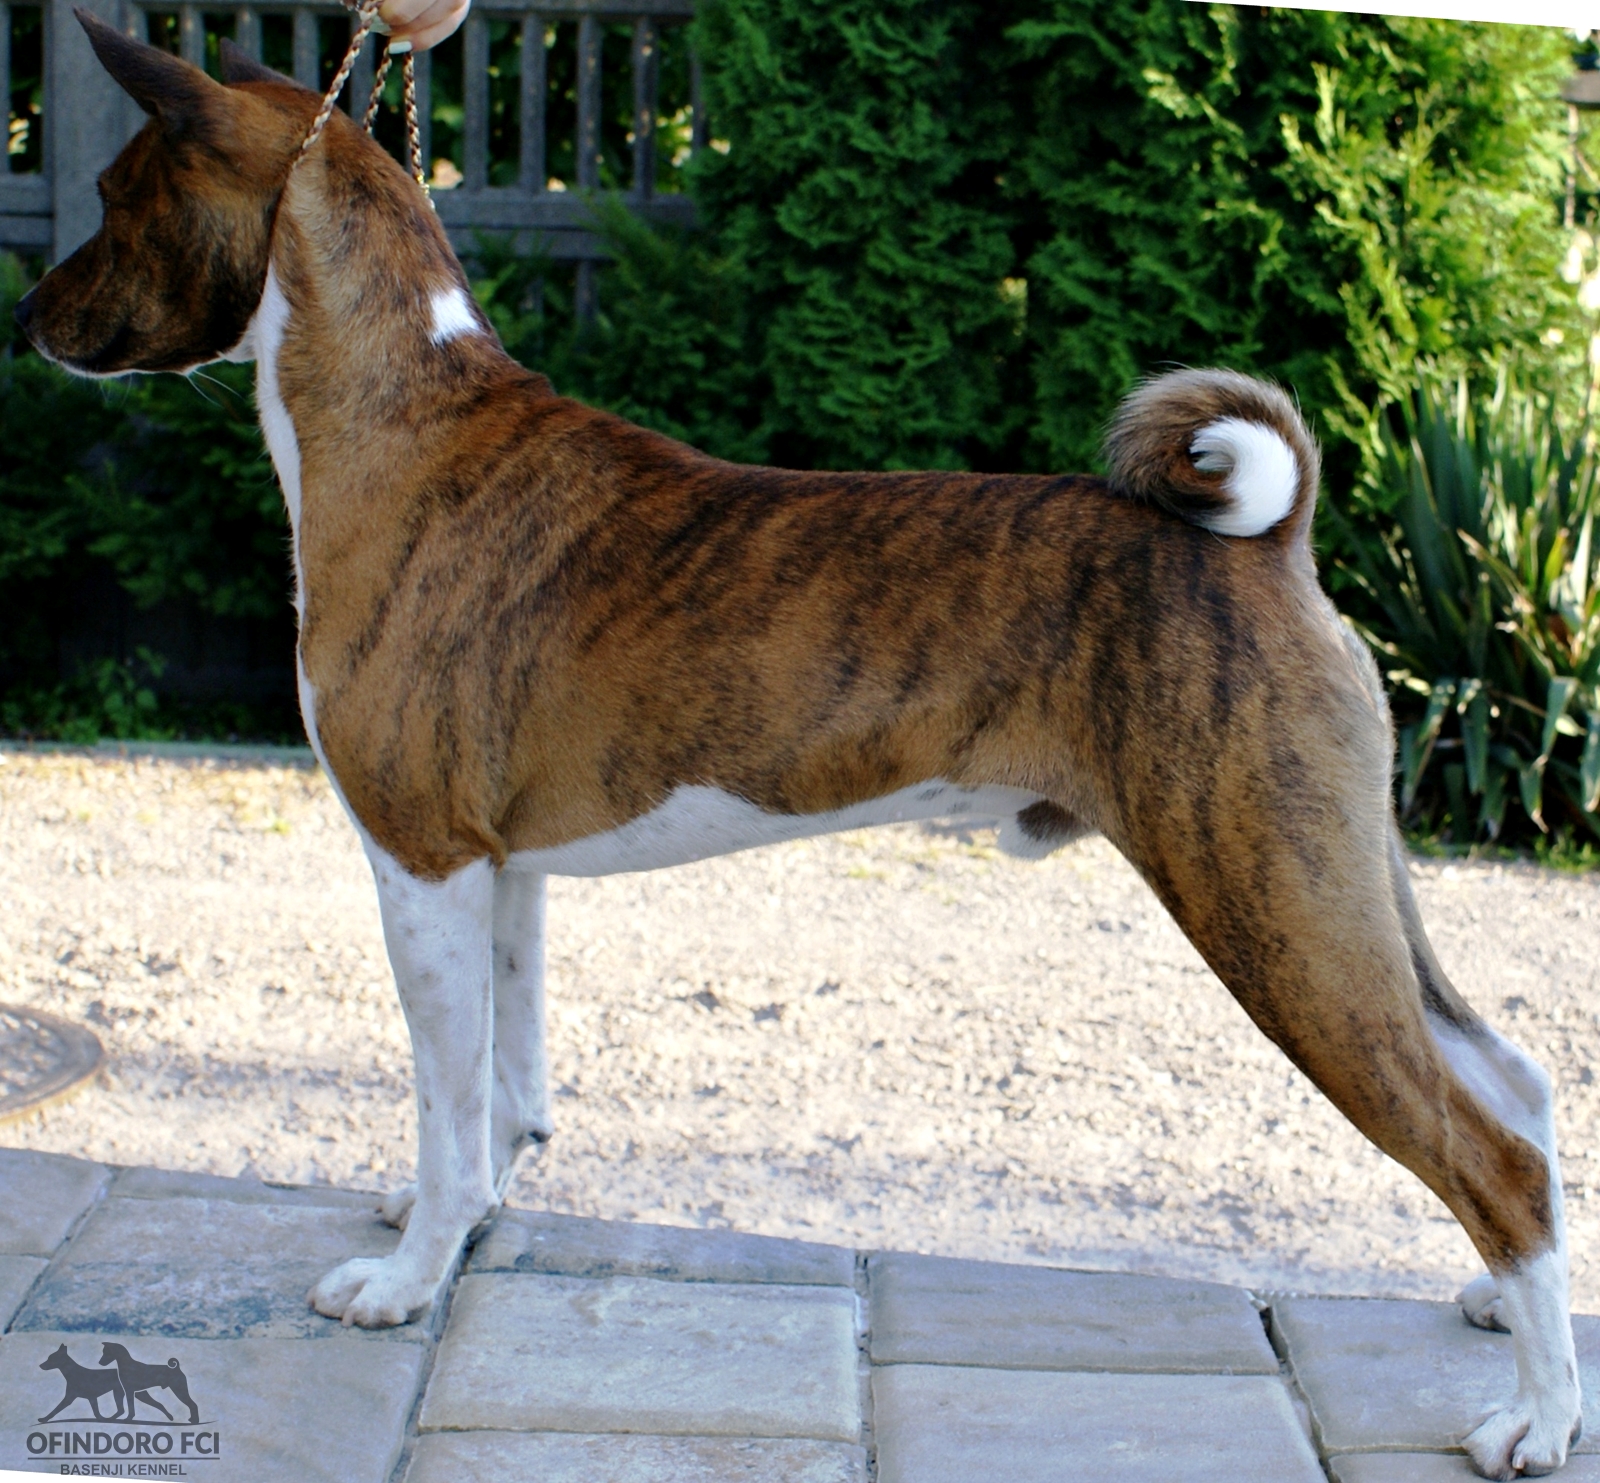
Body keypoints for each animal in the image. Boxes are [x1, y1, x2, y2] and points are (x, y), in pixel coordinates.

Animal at [14, 13, 1581, 1476]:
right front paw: (469, 1220)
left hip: (1273, 911)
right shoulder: (502, 874)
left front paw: (407, 1277)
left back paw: (1541, 1417)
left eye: (113, 191)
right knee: (1517, 1081)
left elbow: (444, 1103)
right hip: (1342, 889)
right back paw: (1513, 1318)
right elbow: (502, 1092)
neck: (406, 418)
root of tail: (1273, 537)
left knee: (1489, 1149)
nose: (29, 312)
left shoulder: (423, 864)